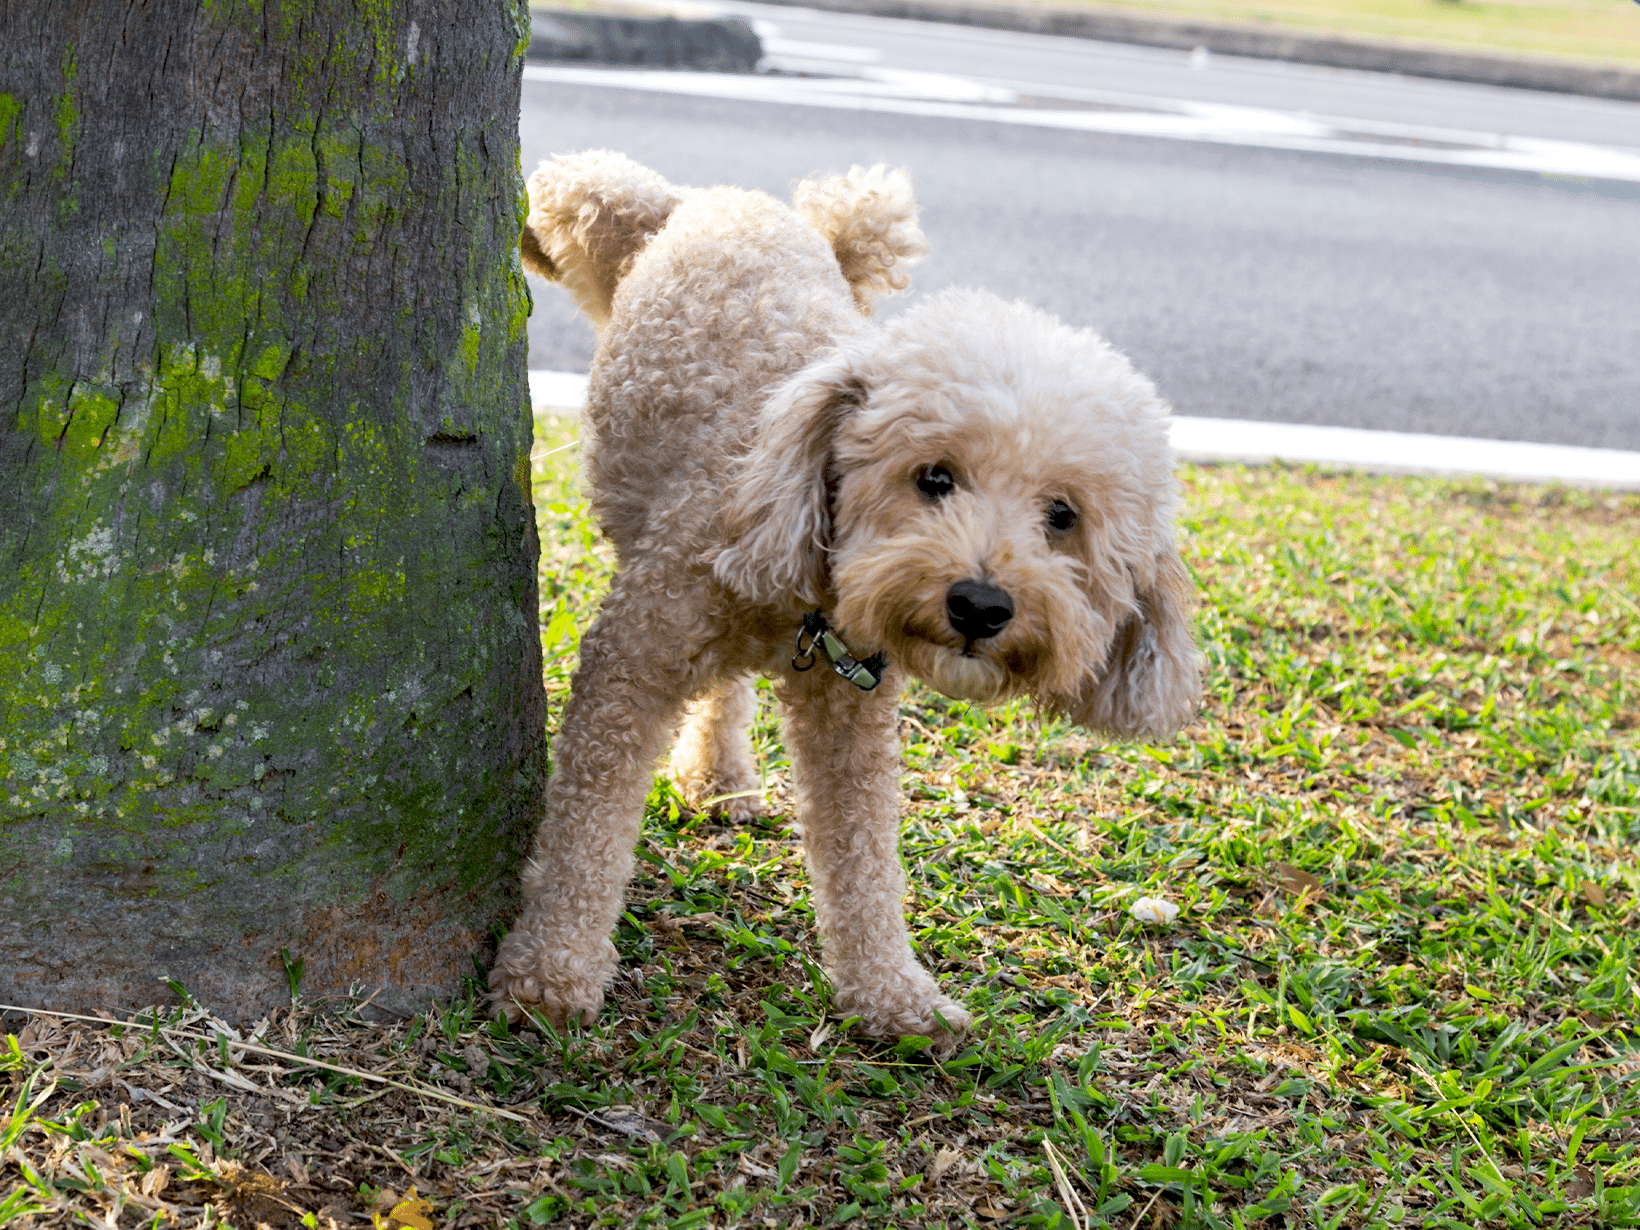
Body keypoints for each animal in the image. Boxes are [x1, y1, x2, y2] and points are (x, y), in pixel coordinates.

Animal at [492, 149, 1200, 1043]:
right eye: (934, 477)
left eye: (1062, 517)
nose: (980, 606)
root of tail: (734, 200)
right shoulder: (633, 660)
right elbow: (587, 829)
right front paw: (551, 970)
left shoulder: (850, 711)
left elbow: (863, 857)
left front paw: (893, 993)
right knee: (586, 180)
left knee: (727, 692)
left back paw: (721, 778)